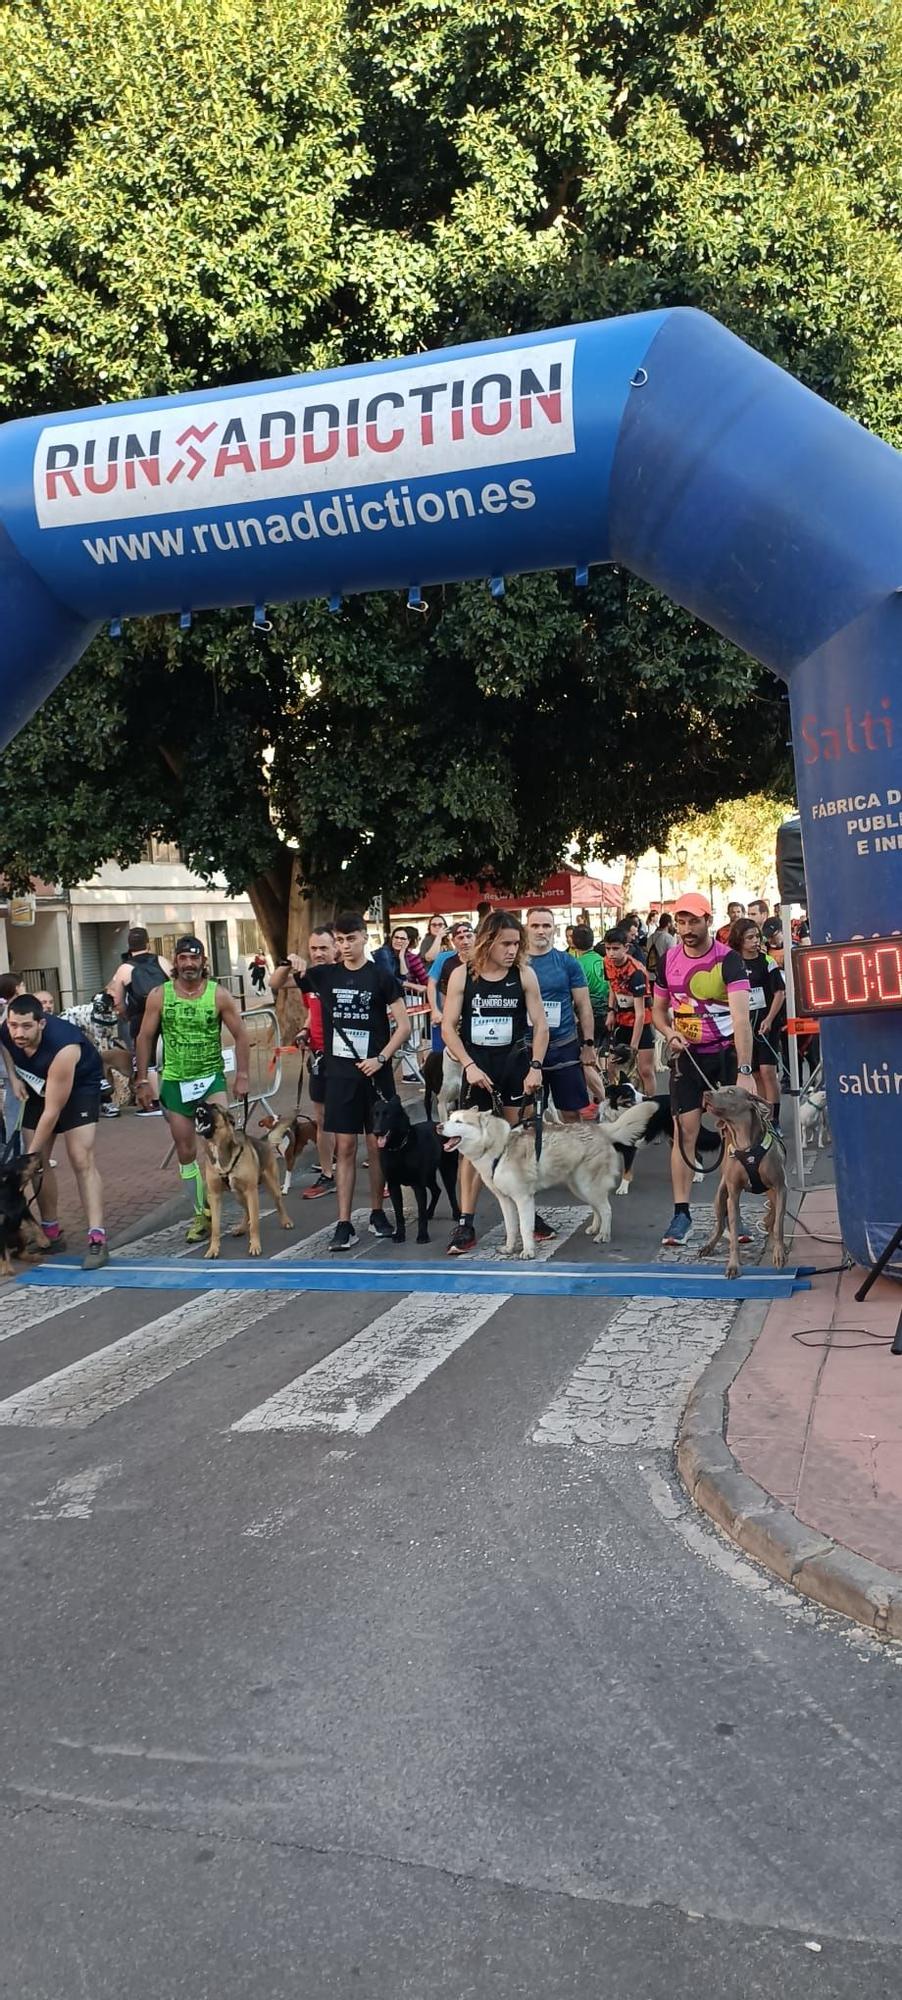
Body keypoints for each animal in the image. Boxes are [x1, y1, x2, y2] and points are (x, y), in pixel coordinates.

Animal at [195, 1104, 296, 1256]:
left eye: (214, 1107)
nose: (198, 1108)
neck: (218, 1147)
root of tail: (262, 1140)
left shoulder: (251, 1191)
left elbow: (255, 1223)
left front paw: (255, 1245)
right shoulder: (215, 1196)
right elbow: (215, 1228)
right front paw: (213, 1249)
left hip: (271, 1186)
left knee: (278, 1203)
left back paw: (286, 1221)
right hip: (238, 1195)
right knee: (247, 1211)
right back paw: (242, 1228)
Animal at [372, 1096, 462, 1232]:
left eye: (388, 1115)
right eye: (375, 1115)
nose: (376, 1132)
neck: (398, 1148)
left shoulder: (418, 1186)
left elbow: (421, 1214)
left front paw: (422, 1234)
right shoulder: (394, 1185)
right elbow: (399, 1215)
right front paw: (399, 1234)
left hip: (447, 1171)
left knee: (450, 1193)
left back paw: (456, 1214)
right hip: (429, 1176)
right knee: (437, 1191)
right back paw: (430, 1212)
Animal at [442, 1104, 660, 1256]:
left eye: (459, 1122)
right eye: (450, 1118)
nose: (438, 1126)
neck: (498, 1148)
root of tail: (601, 1129)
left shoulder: (523, 1198)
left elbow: (524, 1227)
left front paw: (528, 1252)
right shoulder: (505, 1200)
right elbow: (511, 1228)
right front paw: (509, 1248)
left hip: (587, 1186)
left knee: (606, 1209)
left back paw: (604, 1235)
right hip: (580, 1187)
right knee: (597, 1208)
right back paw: (595, 1228)